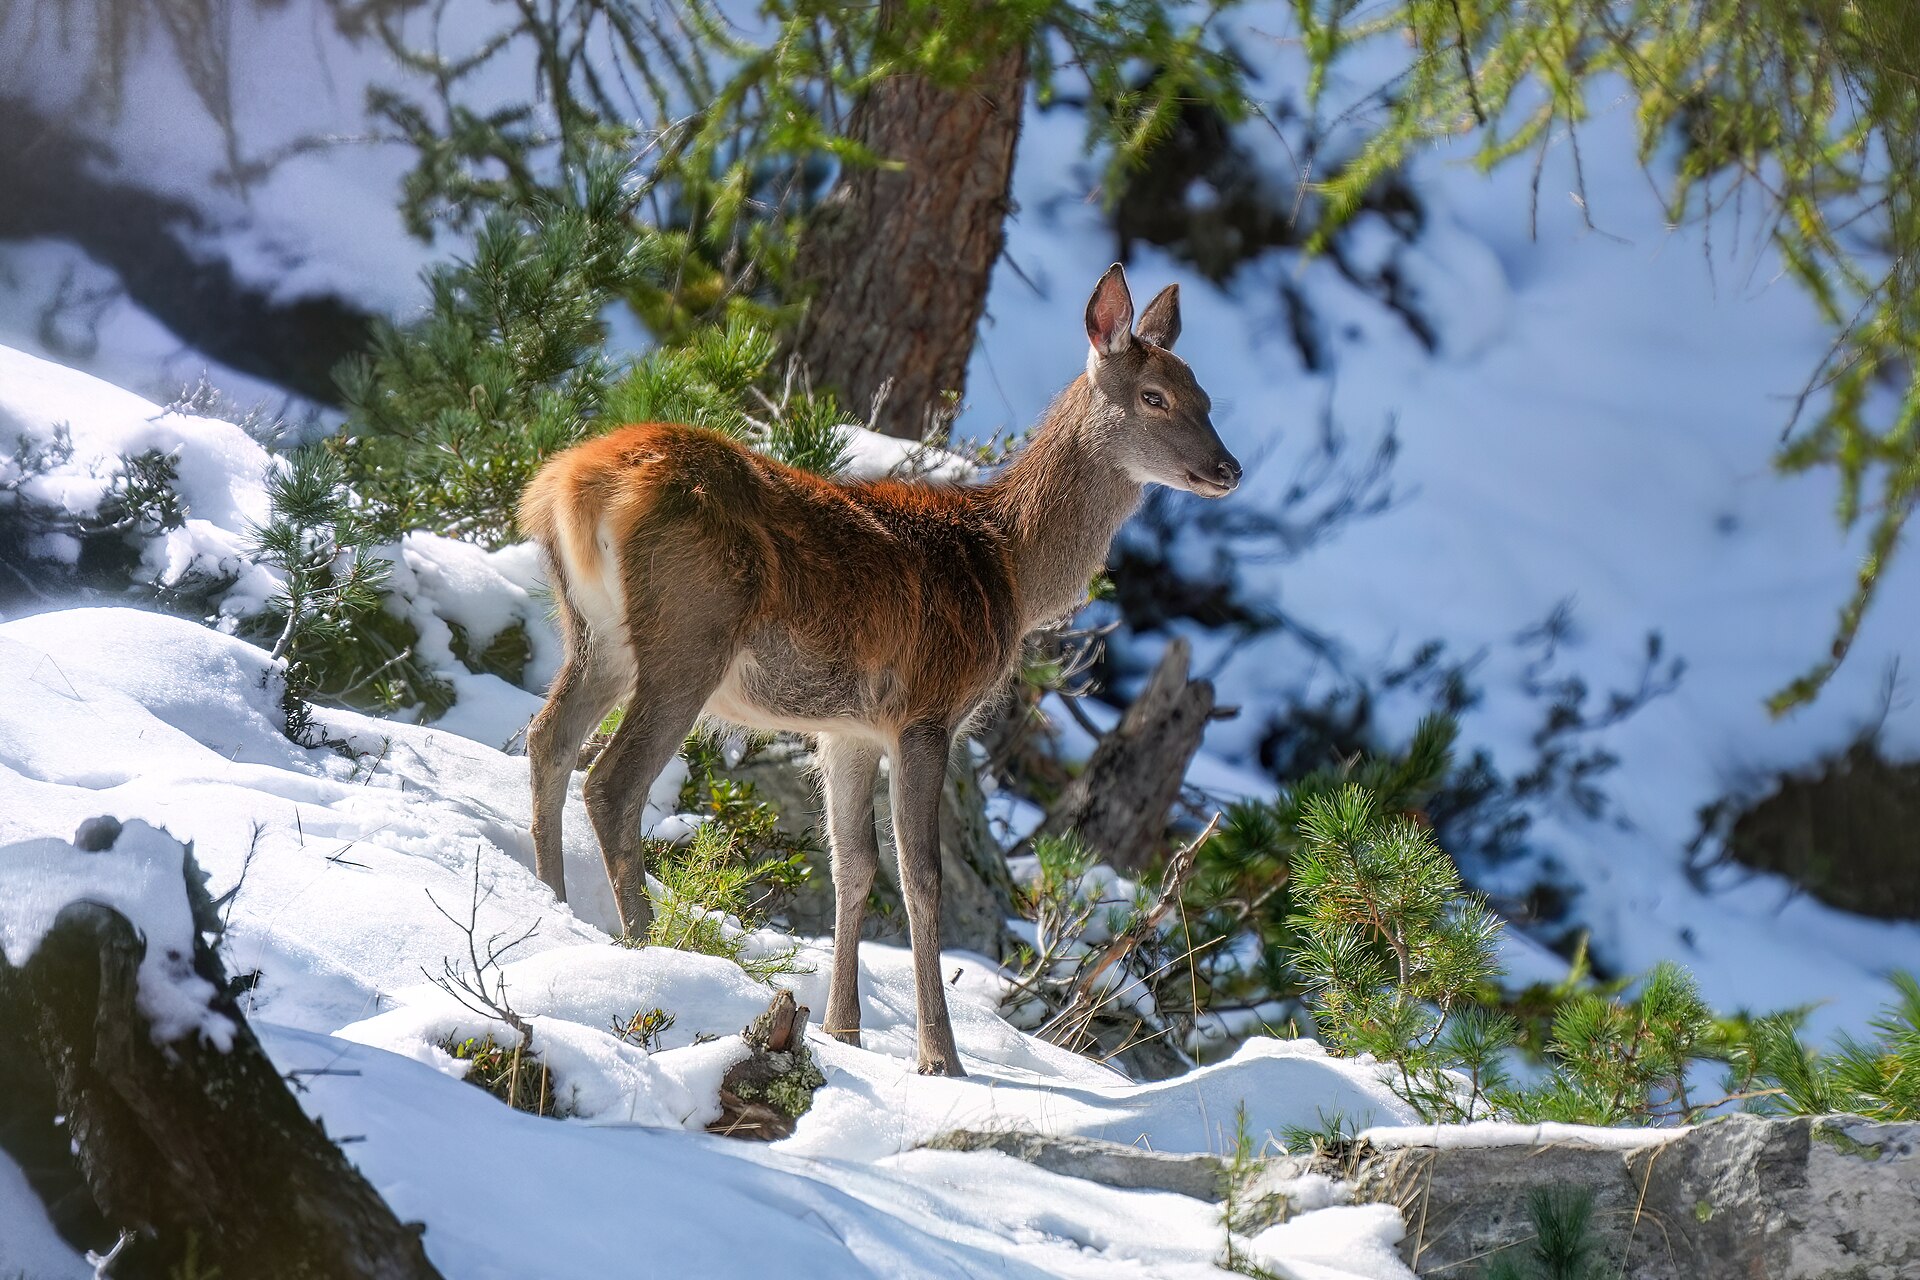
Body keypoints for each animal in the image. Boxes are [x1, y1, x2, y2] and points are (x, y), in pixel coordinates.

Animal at [519, 264, 1239, 1076]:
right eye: (1155, 396)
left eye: (1206, 396)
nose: (1228, 468)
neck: (1011, 568)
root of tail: (570, 482)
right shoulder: (928, 711)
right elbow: (921, 877)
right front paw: (940, 1057)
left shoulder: (848, 730)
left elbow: (853, 864)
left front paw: (843, 1028)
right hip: (689, 633)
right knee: (611, 781)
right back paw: (651, 947)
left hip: (595, 635)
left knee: (547, 739)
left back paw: (550, 905)